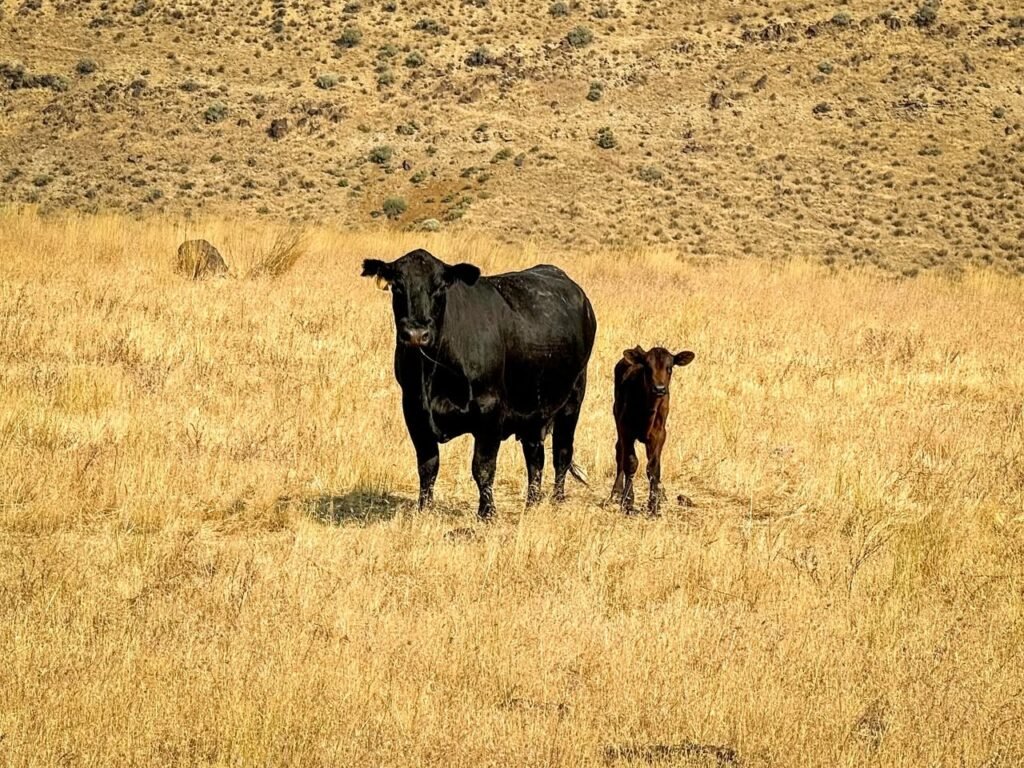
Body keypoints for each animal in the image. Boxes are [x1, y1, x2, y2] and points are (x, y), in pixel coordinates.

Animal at [362, 249, 597, 519]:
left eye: (440, 287)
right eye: (397, 286)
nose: (416, 334)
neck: (433, 374)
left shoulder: (490, 411)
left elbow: (482, 467)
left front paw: (487, 512)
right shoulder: (414, 408)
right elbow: (428, 464)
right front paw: (425, 509)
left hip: (573, 400)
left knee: (562, 453)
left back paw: (556, 500)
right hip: (533, 410)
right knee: (535, 456)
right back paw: (532, 503)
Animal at [611, 346, 695, 515]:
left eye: (669, 368)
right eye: (648, 369)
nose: (660, 389)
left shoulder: (660, 434)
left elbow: (653, 467)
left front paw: (654, 504)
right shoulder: (626, 430)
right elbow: (630, 462)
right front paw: (627, 502)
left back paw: (661, 493)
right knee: (620, 452)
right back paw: (616, 492)